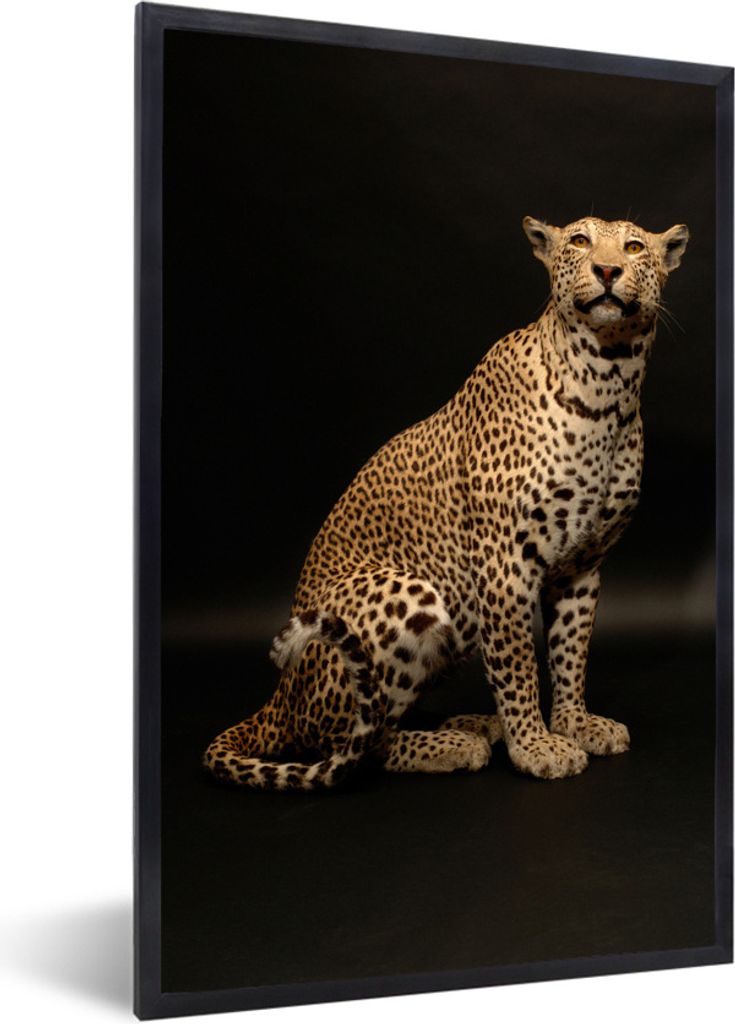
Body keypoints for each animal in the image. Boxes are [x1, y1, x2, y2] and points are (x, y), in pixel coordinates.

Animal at [204, 214, 689, 791]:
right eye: (580, 241)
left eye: (634, 247)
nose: (609, 270)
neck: (609, 384)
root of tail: (280, 697)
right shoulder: (504, 564)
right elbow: (518, 663)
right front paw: (535, 746)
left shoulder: (583, 566)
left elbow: (571, 653)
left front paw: (575, 723)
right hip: (405, 593)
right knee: (355, 742)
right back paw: (454, 743)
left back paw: (473, 723)